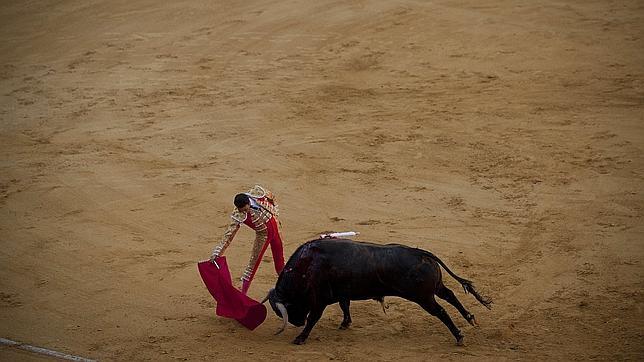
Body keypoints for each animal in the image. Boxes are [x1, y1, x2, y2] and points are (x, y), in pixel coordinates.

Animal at [262, 238, 494, 346]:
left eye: (286, 307)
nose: (296, 322)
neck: (307, 265)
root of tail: (421, 252)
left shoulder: (319, 299)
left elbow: (313, 318)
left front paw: (300, 338)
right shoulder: (341, 293)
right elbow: (345, 305)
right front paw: (345, 323)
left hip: (423, 297)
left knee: (442, 312)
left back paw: (459, 336)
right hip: (434, 289)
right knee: (451, 296)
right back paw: (470, 318)